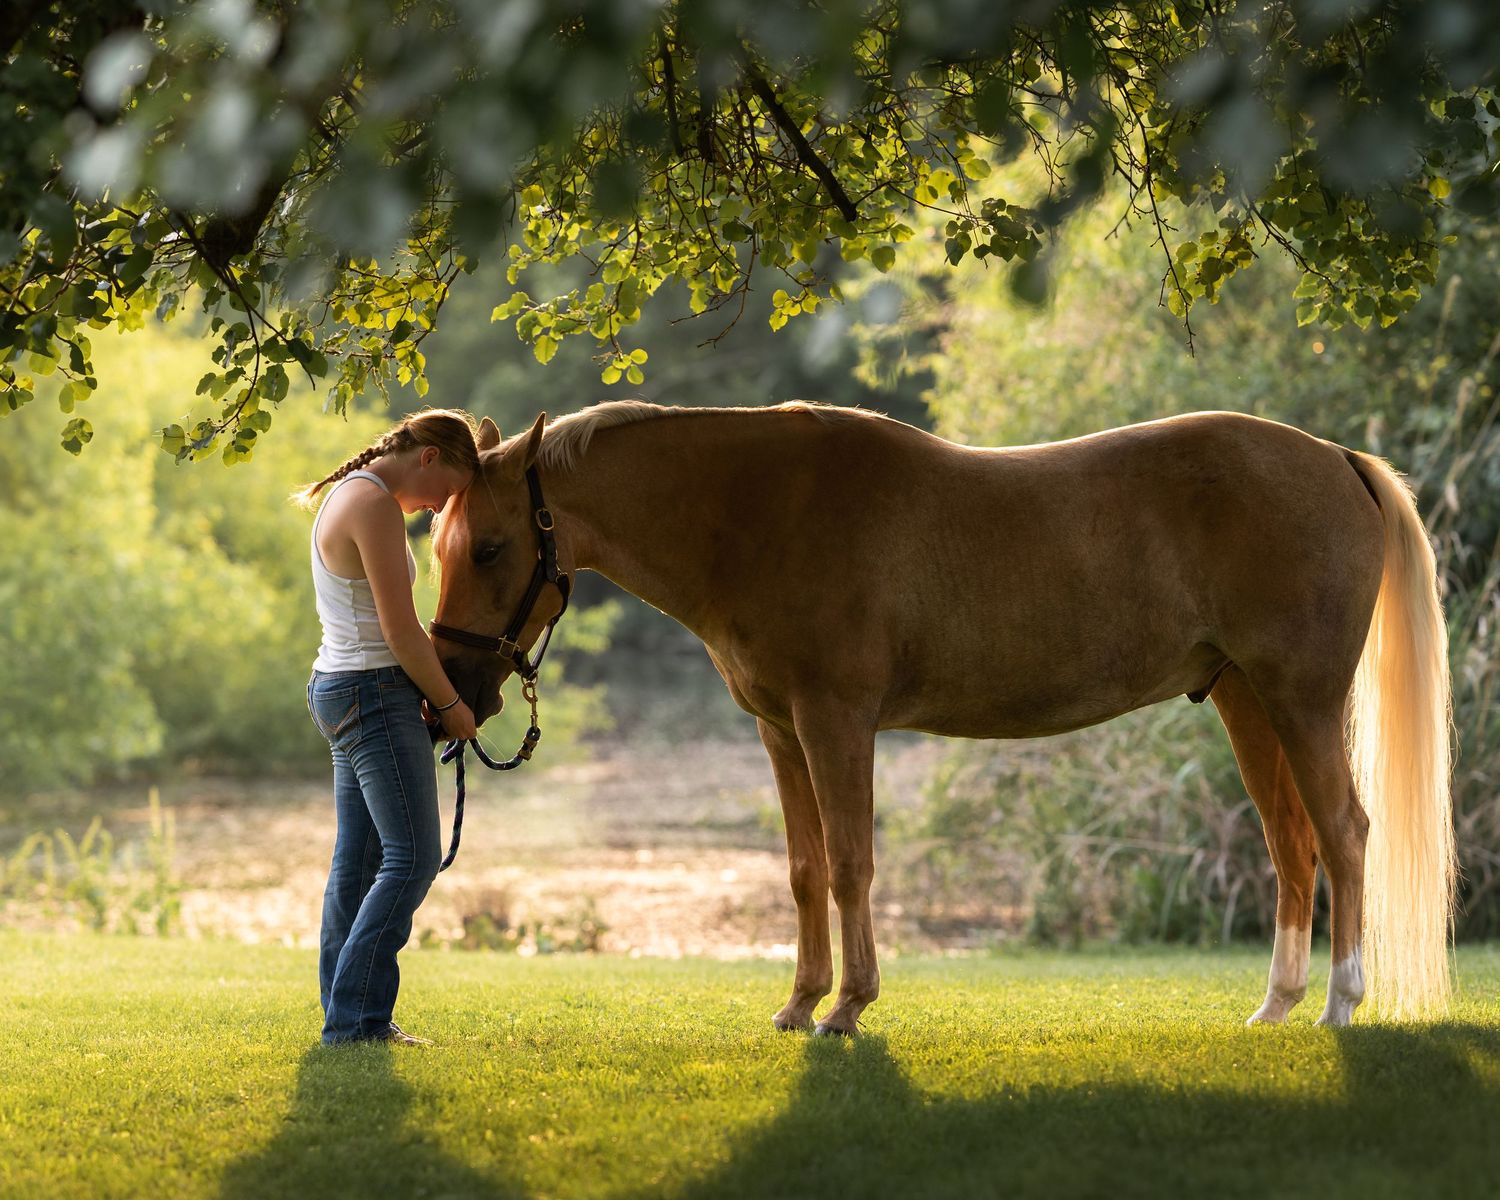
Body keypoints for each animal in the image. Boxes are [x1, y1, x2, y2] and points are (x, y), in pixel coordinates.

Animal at [429, 401, 1455, 1034]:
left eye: (489, 548)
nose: (453, 693)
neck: (761, 511)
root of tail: (1339, 461)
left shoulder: (836, 722)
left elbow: (851, 864)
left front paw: (848, 1008)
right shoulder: (779, 731)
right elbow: (804, 871)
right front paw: (798, 1004)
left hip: (1301, 698)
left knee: (1345, 832)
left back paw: (1341, 1003)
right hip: (1246, 697)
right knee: (1293, 842)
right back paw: (1277, 1005)